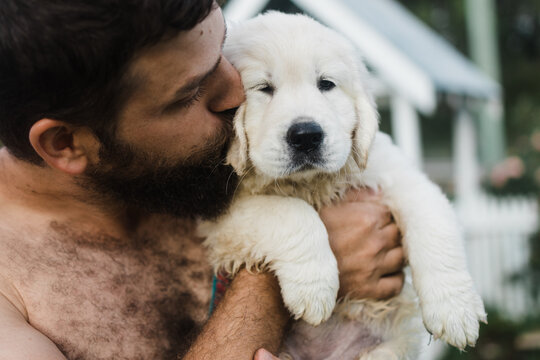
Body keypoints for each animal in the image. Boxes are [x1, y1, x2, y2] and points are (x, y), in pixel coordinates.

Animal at [200, 11, 488, 360]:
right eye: (264, 88)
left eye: (326, 84)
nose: (306, 135)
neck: (310, 184)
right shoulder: (218, 218)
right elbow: (292, 213)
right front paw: (314, 289)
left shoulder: (398, 176)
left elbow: (434, 228)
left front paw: (455, 311)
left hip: (390, 348)